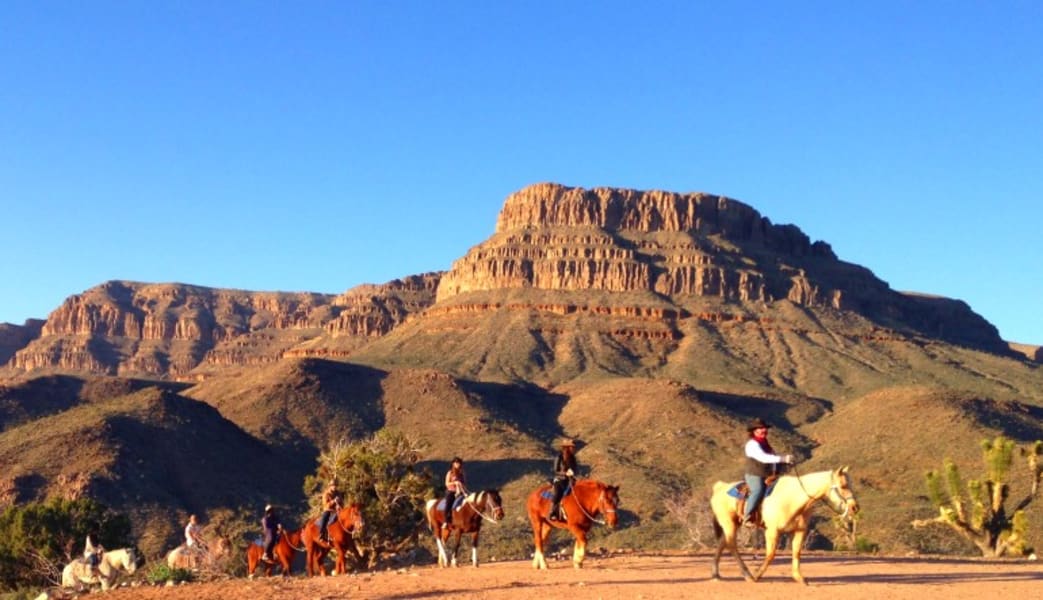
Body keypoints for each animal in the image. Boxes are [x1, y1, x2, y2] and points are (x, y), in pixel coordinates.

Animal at [713, 467, 859, 584]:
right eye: (843, 485)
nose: (855, 507)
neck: (792, 499)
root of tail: (720, 487)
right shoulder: (772, 531)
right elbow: (771, 554)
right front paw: (757, 575)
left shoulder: (799, 531)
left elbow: (796, 552)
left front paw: (799, 578)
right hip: (729, 523)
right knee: (731, 545)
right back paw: (747, 575)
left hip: (733, 524)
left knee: (722, 543)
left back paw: (716, 574)